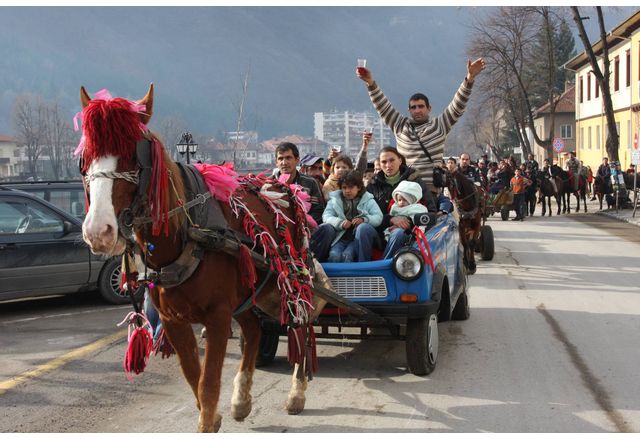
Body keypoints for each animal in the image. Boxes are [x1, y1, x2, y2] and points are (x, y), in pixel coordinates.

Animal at [78, 86, 330, 434]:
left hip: (291, 280)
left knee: (300, 328)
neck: (187, 233)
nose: (97, 230)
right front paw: (216, 413)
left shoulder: (217, 316)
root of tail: (286, 187)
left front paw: (210, 420)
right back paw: (242, 399)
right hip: (251, 291)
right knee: (254, 329)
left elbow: (208, 383)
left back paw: (296, 392)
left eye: (133, 154)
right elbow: (193, 377)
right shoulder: (173, 321)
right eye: (85, 158)